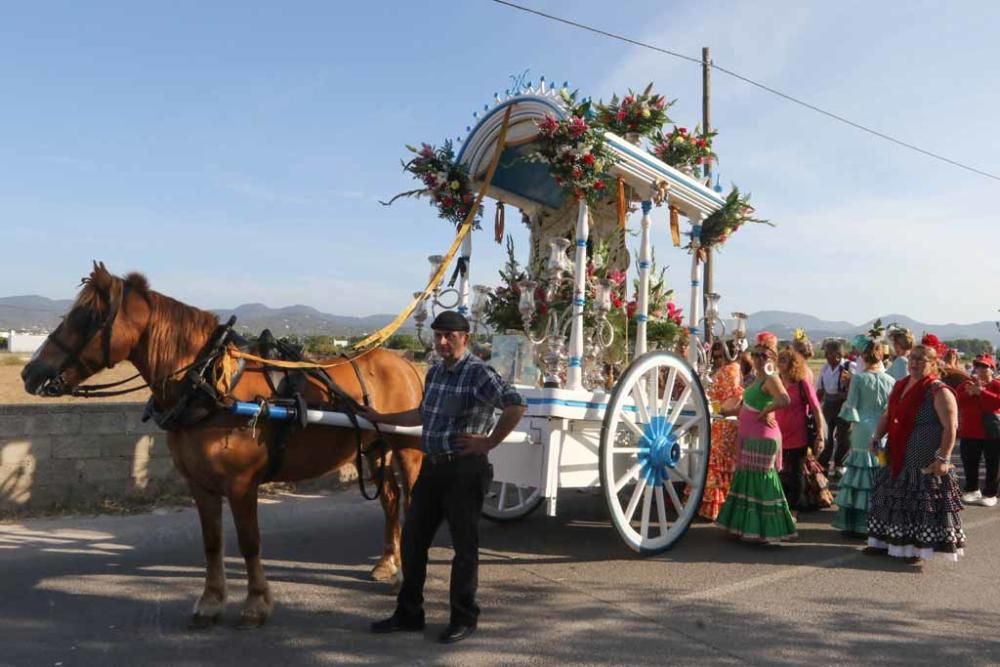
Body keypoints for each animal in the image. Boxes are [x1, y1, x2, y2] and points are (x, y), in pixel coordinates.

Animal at [21, 264, 424, 628]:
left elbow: (249, 542)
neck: (209, 385)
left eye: (87, 316)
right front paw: (211, 602)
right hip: (375, 448)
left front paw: (257, 604)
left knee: (411, 503)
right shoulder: (201, 484)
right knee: (390, 501)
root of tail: (406, 364)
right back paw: (388, 563)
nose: (30, 372)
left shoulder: (242, 485)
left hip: (408, 451)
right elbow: (212, 542)